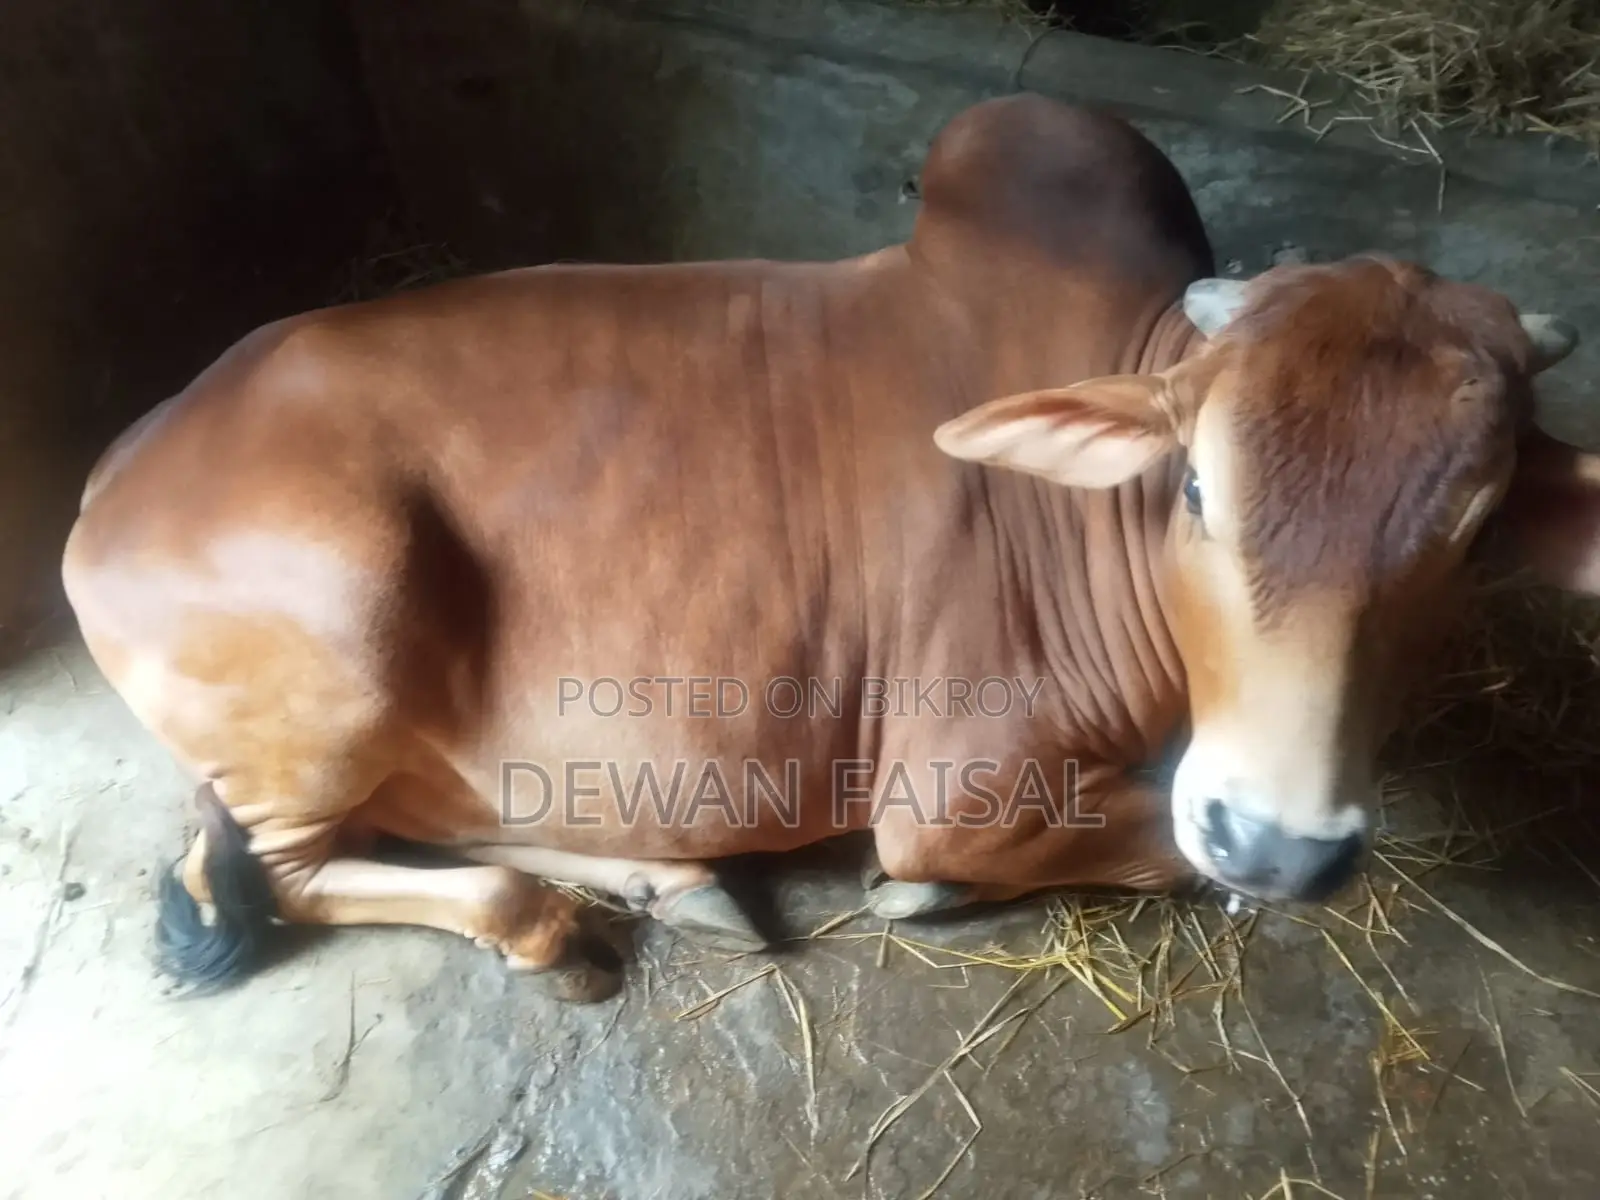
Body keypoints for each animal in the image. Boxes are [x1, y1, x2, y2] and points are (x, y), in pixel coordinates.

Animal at [61, 93, 1600, 1003]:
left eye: (1473, 535)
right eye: (1196, 490)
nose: (1276, 842)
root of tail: (109, 480)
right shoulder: (956, 786)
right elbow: (1134, 849)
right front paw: (931, 890)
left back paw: (669, 879)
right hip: (341, 633)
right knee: (266, 874)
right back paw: (562, 921)